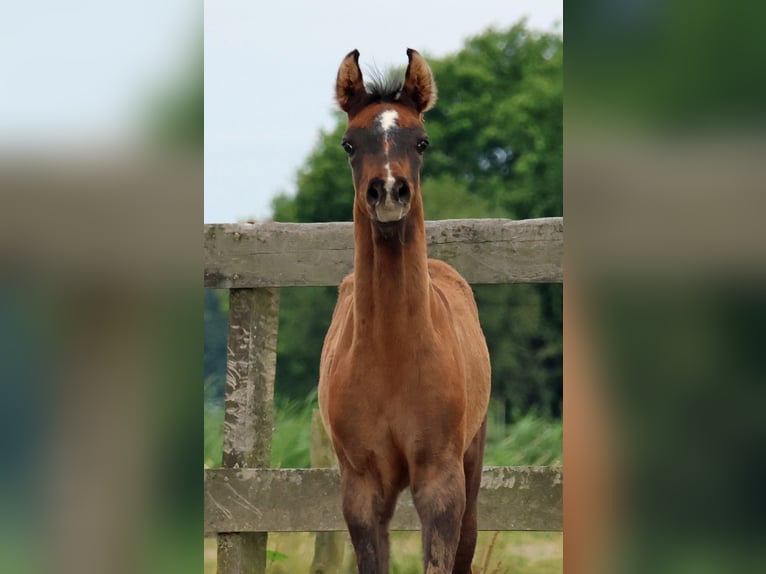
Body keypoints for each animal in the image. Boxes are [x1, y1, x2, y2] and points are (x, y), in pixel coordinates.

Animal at [318, 49, 492, 574]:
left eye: (422, 141)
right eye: (349, 144)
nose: (390, 191)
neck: (391, 353)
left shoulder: (440, 482)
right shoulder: (362, 487)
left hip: (472, 462)